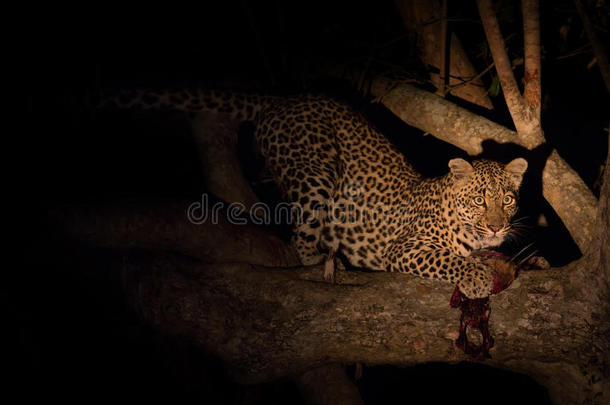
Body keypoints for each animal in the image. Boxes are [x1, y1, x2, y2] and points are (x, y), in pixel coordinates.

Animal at [101, 88, 528, 296]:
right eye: (479, 199)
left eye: (507, 199)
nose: (496, 227)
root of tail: (284, 101)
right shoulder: (404, 248)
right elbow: (449, 260)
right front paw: (474, 276)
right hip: (315, 177)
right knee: (300, 241)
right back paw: (324, 261)